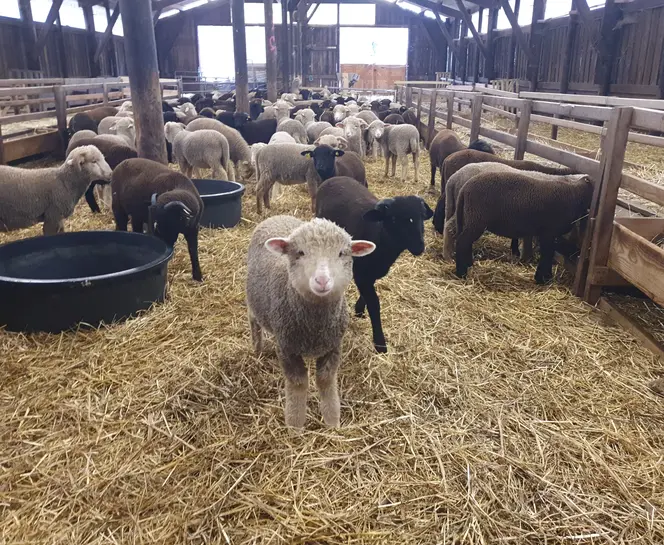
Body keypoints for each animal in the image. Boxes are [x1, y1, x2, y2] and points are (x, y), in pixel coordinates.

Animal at [246, 215, 375, 428]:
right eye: (300, 252)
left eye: (341, 253)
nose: (322, 281)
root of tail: (277, 216)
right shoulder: (286, 349)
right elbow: (298, 384)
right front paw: (294, 426)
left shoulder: (333, 346)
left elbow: (325, 380)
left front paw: (333, 423)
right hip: (252, 302)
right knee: (254, 322)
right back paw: (257, 349)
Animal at [316, 177, 433, 352]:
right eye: (394, 218)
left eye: (421, 216)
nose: (419, 247)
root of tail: (334, 178)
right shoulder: (361, 274)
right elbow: (374, 303)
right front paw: (380, 343)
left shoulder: (370, 274)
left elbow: (368, 296)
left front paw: (359, 309)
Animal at [454, 171, 592, 284]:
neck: (575, 194)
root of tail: (464, 188)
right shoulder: (548, 232)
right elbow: (547, 253)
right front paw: (542, 279)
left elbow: (548, 253)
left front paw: (544, 277)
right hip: (477, 219)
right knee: (462, 242)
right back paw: (461, 273)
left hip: (470, 218)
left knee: (465, 242)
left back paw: (468, 264)